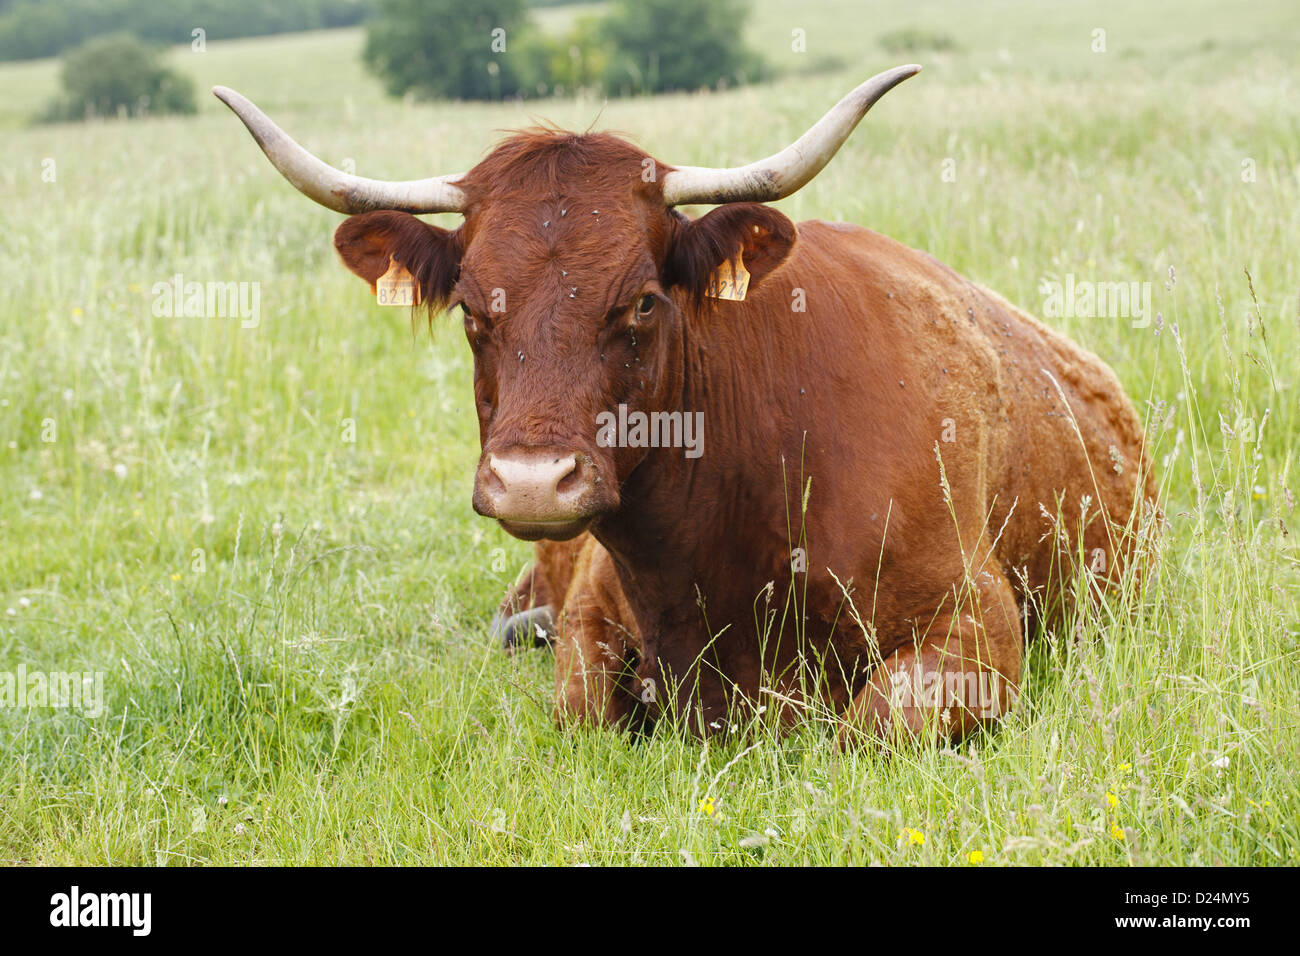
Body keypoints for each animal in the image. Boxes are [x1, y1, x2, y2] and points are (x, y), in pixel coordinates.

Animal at [218, 69, 1164, 749]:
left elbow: (864, 733)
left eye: (642, 300)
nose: (533, 483)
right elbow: (582, 713)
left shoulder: (978, 628)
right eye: (471, 311)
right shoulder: (593, 613)